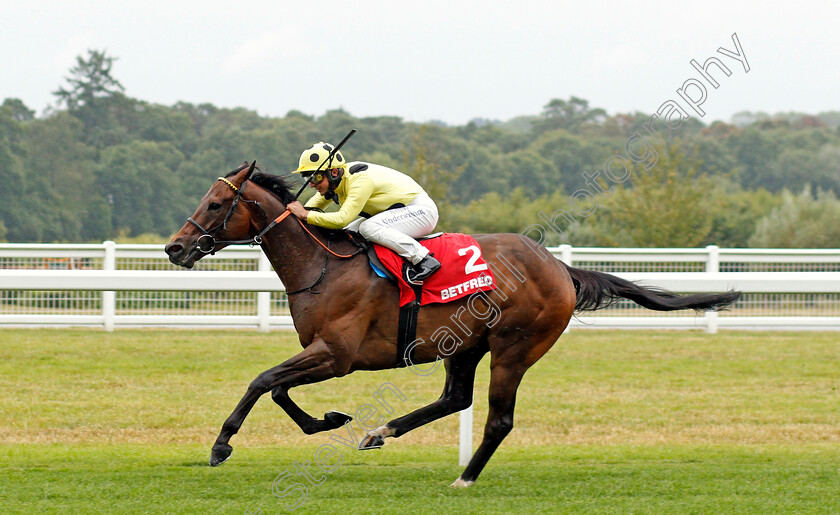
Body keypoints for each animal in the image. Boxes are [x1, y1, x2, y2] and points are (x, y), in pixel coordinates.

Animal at [164, 162, 740, 488]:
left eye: (216, 203)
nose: (174, 247)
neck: (322, 265)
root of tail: (560, 268)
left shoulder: (338, 355)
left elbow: (263, 381)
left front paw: (221, 445)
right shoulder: (324, 353)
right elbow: (279, 389)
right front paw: (329, 421)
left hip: (514, 349)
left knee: (497, 419)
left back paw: (465, 478)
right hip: (465, 344)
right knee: (455, 398)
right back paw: (381, 432)